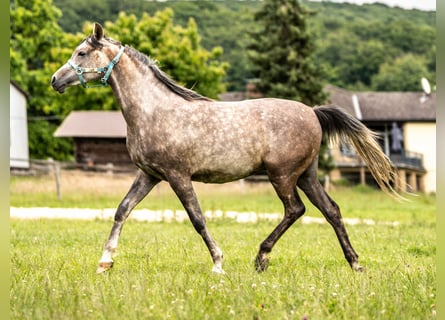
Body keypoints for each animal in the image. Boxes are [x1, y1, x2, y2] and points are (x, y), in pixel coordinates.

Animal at [50, 23, 398, 276]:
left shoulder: (177, 175)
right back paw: (355, 263)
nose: (55, 80)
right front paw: (105, 262)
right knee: (331, 211)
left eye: (82, 53)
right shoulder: (149, 175)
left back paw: (261, 258)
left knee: (295, 210)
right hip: (306, 175)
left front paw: (218, 263)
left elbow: (197, 219)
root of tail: (313, 112)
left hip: (282, 175)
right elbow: (122, 209)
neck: (154, 111)